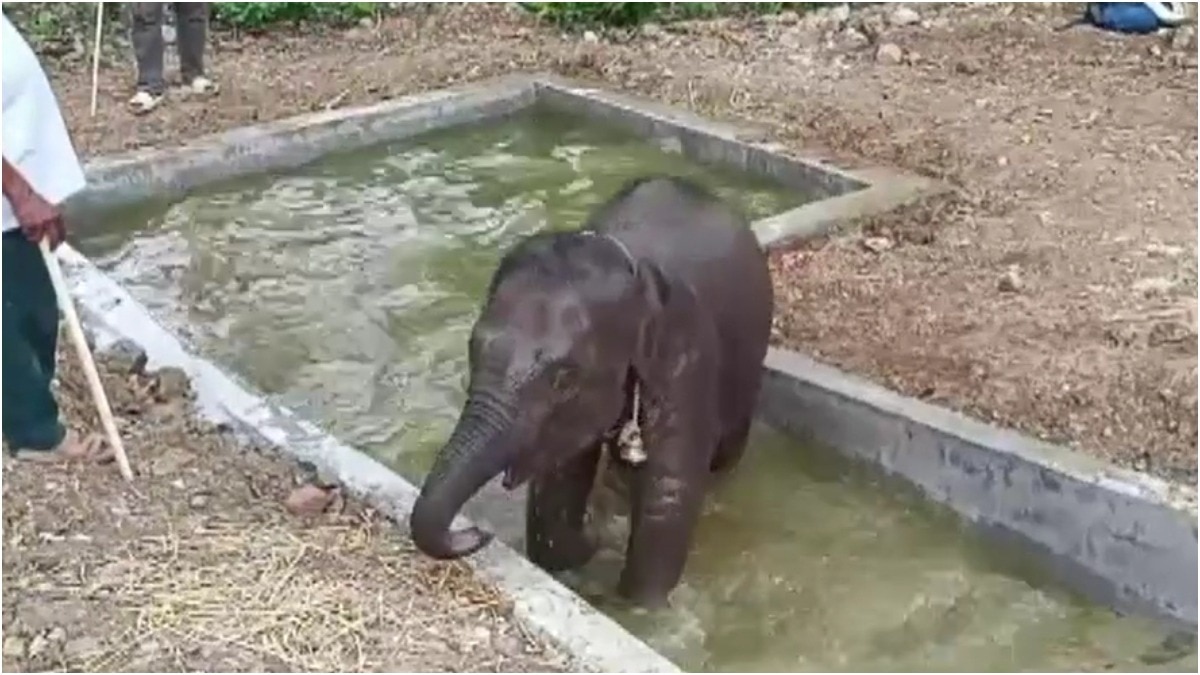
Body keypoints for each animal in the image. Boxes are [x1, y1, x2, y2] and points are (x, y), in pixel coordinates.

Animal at [409, 174, 775, 608]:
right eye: (472, 347)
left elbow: (667, 495)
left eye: (564, 378)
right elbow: (560, 479)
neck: (634, 269)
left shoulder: (688, 361)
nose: (478, 533)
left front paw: (639, 608)